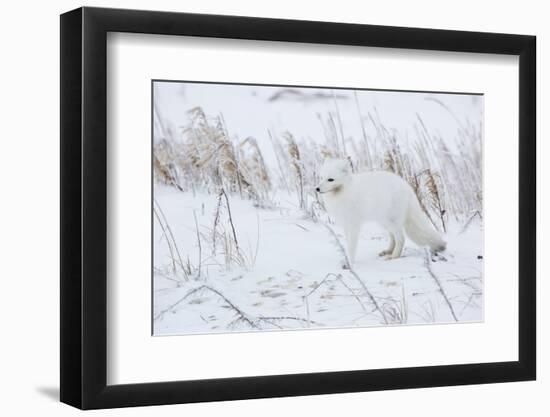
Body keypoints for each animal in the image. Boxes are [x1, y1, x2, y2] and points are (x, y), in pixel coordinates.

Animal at [316, 159, 446, 264]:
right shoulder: (345, 224)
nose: (317, 189)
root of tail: (407, 187)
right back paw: (388, 251)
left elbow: (352, 246)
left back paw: (394, 256)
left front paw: (350, 262)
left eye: (330, 179)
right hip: (383, 221)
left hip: (391, 221)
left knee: (401, 238)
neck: (344, 192)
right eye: (321, 177)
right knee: (393, 237)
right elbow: (348, 243)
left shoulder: (354, 225)